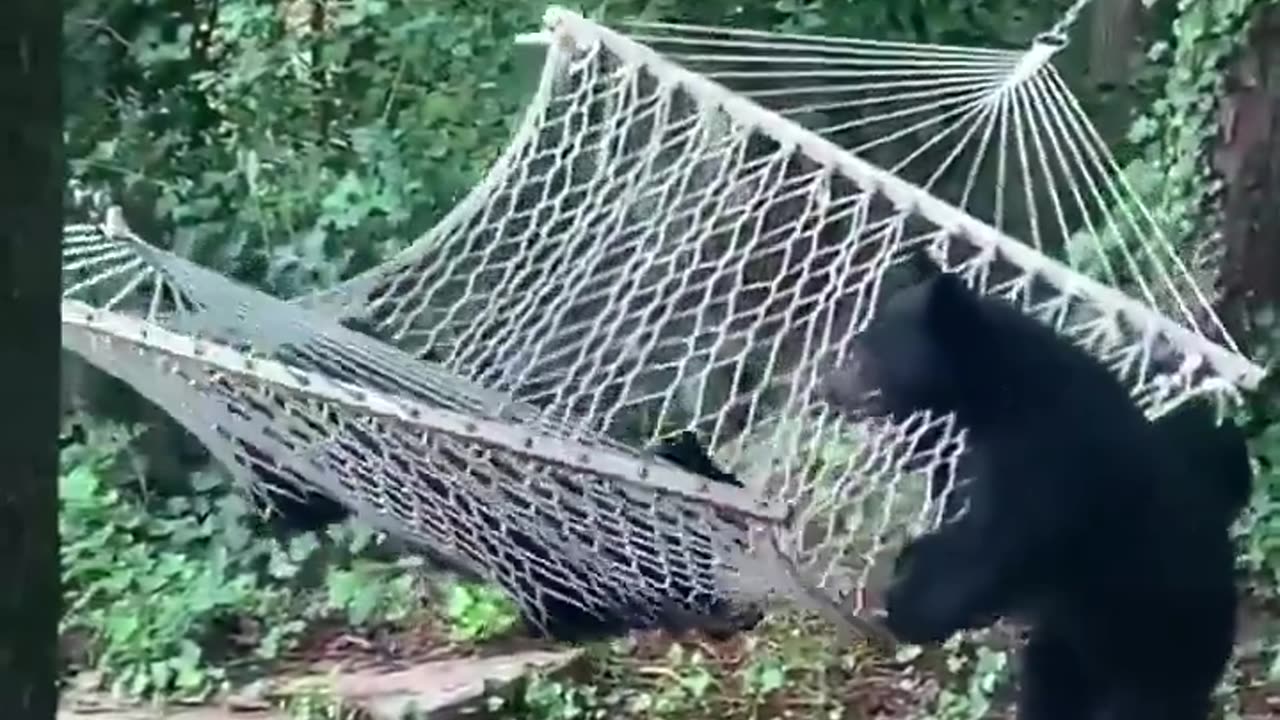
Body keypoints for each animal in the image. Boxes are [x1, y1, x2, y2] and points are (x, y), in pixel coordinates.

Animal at [819, 262, 1249, 717]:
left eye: (865, 352)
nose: (827, 388)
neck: (1001, 396)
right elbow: (962, 523)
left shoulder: (1048, 458)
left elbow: (999, 547)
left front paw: (910, 610)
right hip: (1071, 644)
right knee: (1052, 680)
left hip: (1158, 648)